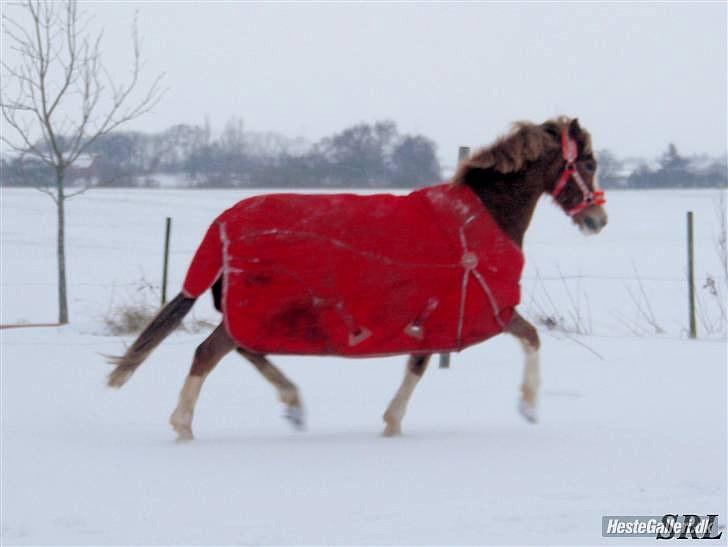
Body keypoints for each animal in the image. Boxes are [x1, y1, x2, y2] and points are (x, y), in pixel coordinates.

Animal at [106, 116, 608, 440]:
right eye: (588, 163)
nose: (598, 220)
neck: (482, 217)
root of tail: (222, 225)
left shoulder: (434, 315)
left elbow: (418, 364)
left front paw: (392, 422)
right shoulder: (486, 308)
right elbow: (531, 337)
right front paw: (528, 405)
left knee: (241, 350)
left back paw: (292, 405)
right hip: (261, 308)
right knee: (210, 353)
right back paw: (185, 425)